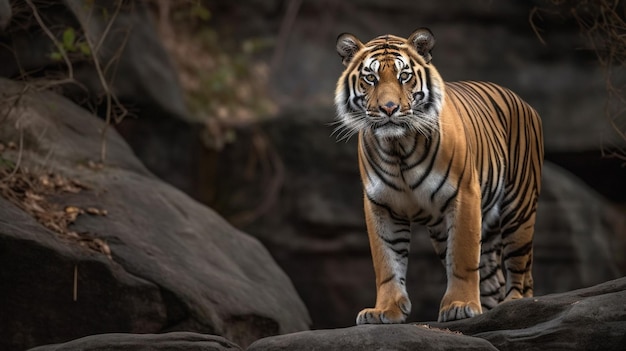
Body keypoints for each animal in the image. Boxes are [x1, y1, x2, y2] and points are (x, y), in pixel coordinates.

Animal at [332, 28, 540, 326]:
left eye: (404, 76)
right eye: (370, 78)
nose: (389, 108)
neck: (399, 149)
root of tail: (522, 100)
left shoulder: (464, 195)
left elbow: (463, 257)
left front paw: (460, 305)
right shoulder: (379, 205)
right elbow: (387, 262)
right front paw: (385, 310)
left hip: (518, 208)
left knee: (519, 269)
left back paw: (513, 304)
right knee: (492, 277)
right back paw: (489, 311)